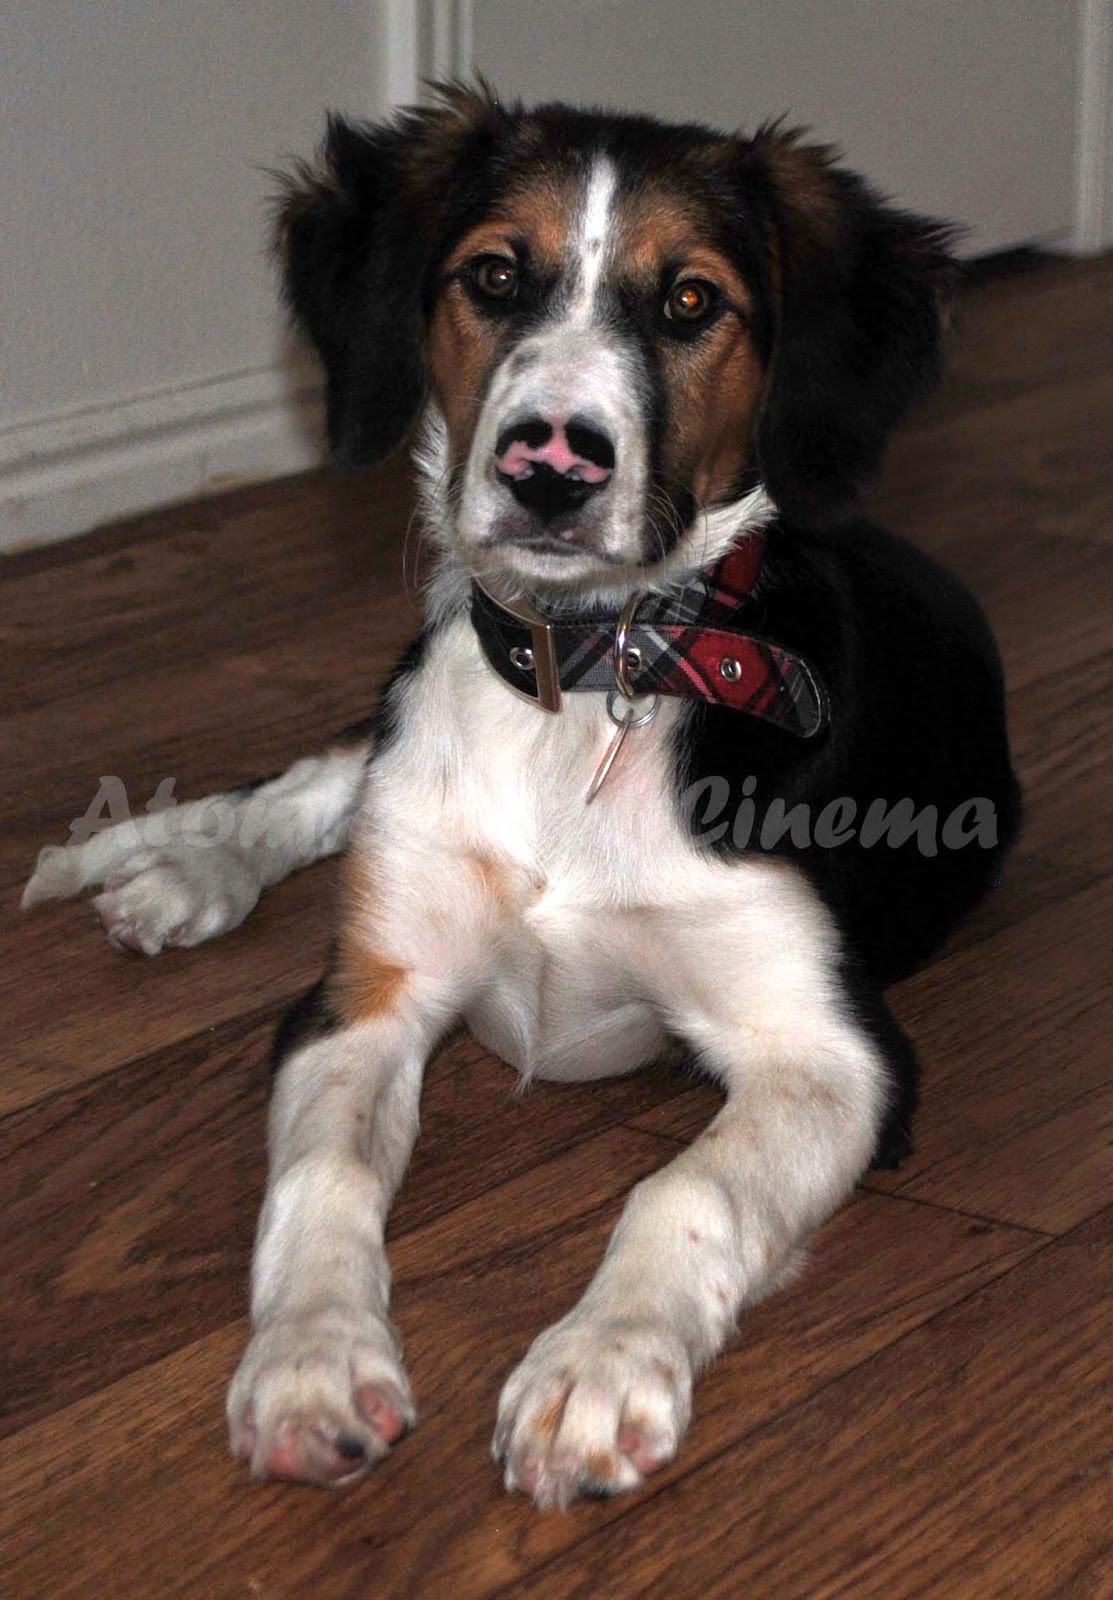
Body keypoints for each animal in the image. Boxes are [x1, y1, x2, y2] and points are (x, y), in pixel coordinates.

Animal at [23, 85, 1020, 1509]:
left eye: (692, 301)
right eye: (494, 276)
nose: (553, 464)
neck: (585, 681)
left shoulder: (832, 1056)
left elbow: (685, 1191)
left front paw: (595, 1368)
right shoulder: (365, 999)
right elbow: (321, 1174)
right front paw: (312, 1360)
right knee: (327, 770)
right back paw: (181, 870)